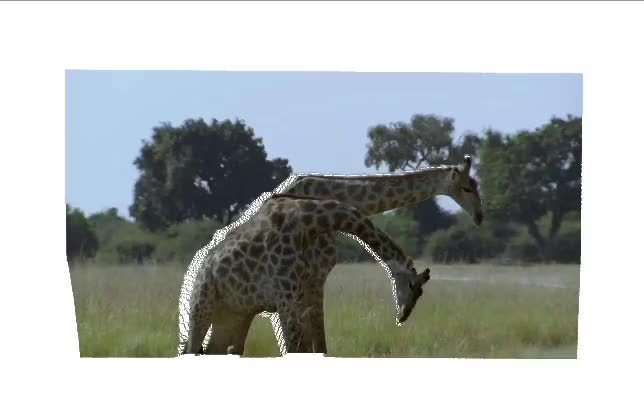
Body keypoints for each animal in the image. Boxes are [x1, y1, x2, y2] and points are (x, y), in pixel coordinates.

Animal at [182, 194, 431, 355]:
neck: (310, 223)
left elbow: (312, 346)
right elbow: (295, 348)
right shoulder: (285, 298)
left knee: (215, 350)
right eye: (411, 286)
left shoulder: (303, 296)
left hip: (234, 314)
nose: (403, 316)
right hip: (202, 304)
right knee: (190, 348)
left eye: (420, 294)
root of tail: (200, 268)